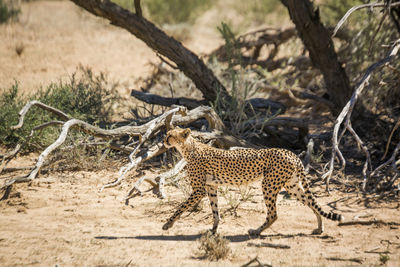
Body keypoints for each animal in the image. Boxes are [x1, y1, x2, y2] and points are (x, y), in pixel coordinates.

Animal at [161, 129, 342, 236]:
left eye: (170, 134)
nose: (163, 140)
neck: (189, 148)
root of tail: (290, 153)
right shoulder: (211, 187)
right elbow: (215, 210)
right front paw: (213, 229)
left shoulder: (199, 189)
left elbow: (181, 206)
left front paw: (168, 223)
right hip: (291, 186)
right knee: (312, 203)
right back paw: (320, 227)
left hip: (268, 185)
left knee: (273, 214)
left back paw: (256, 231)